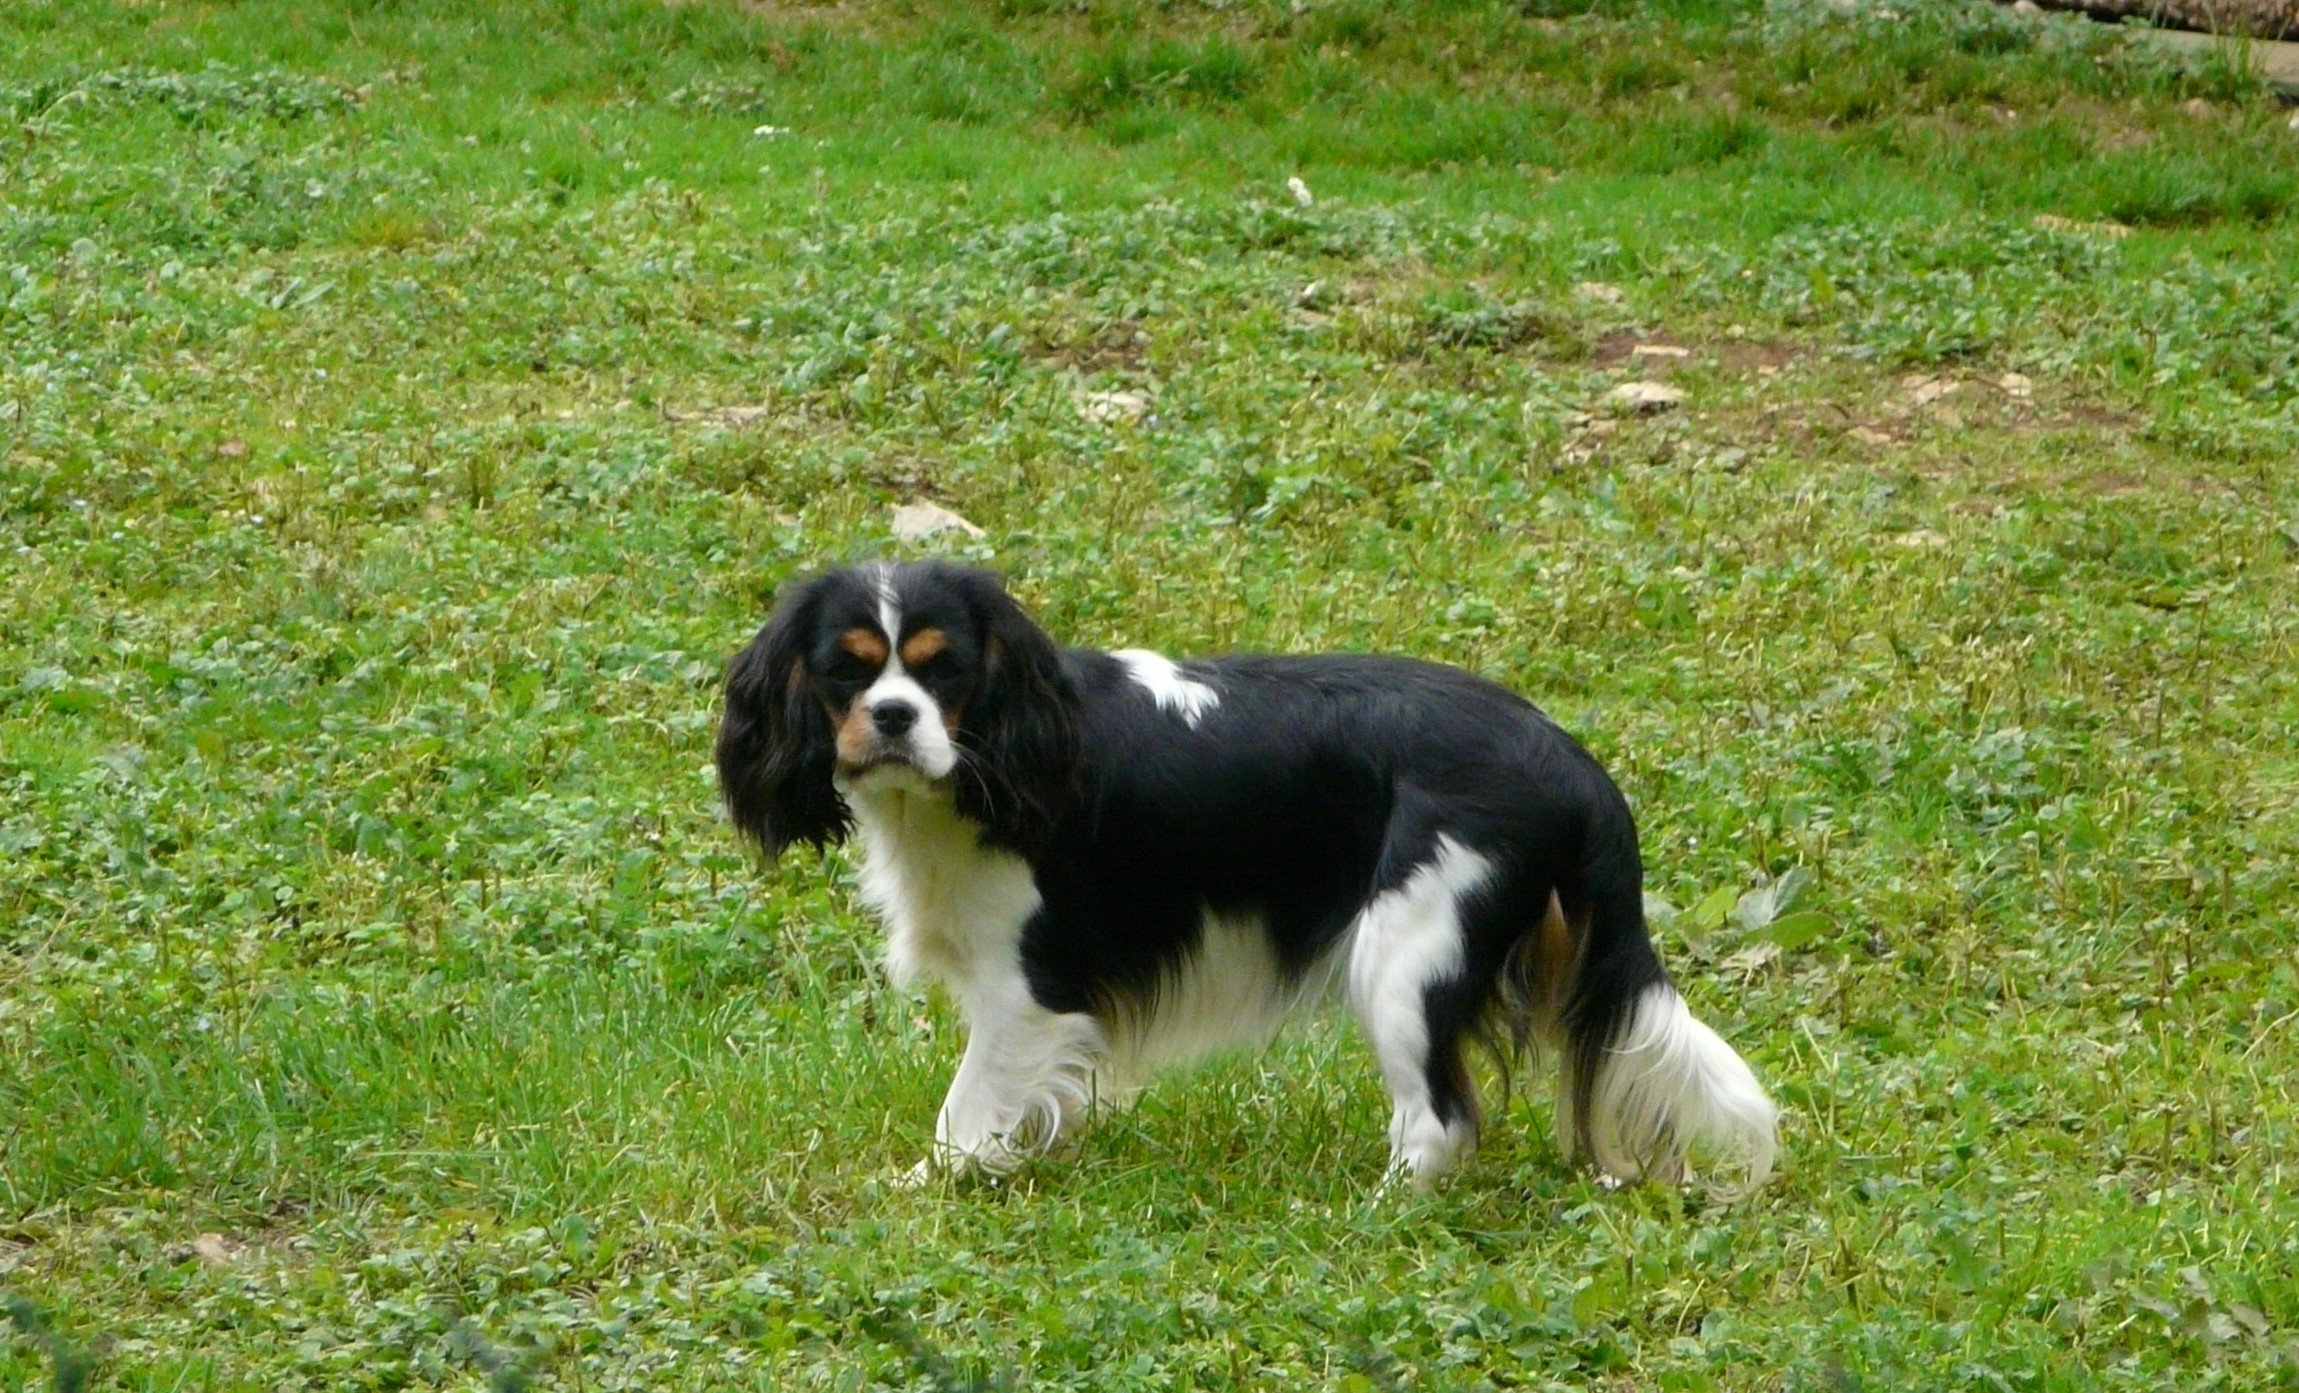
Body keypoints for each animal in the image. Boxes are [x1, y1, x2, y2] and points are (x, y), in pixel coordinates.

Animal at [717, 563, 1774, 1195]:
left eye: (945, 673)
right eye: (846, 673)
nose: (893, 717)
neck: (988, 761)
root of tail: (1571, 763)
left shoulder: (1029, 989)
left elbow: (968, 1108)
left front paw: (932, 1184)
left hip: (1404, 956)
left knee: (1439, 1119)